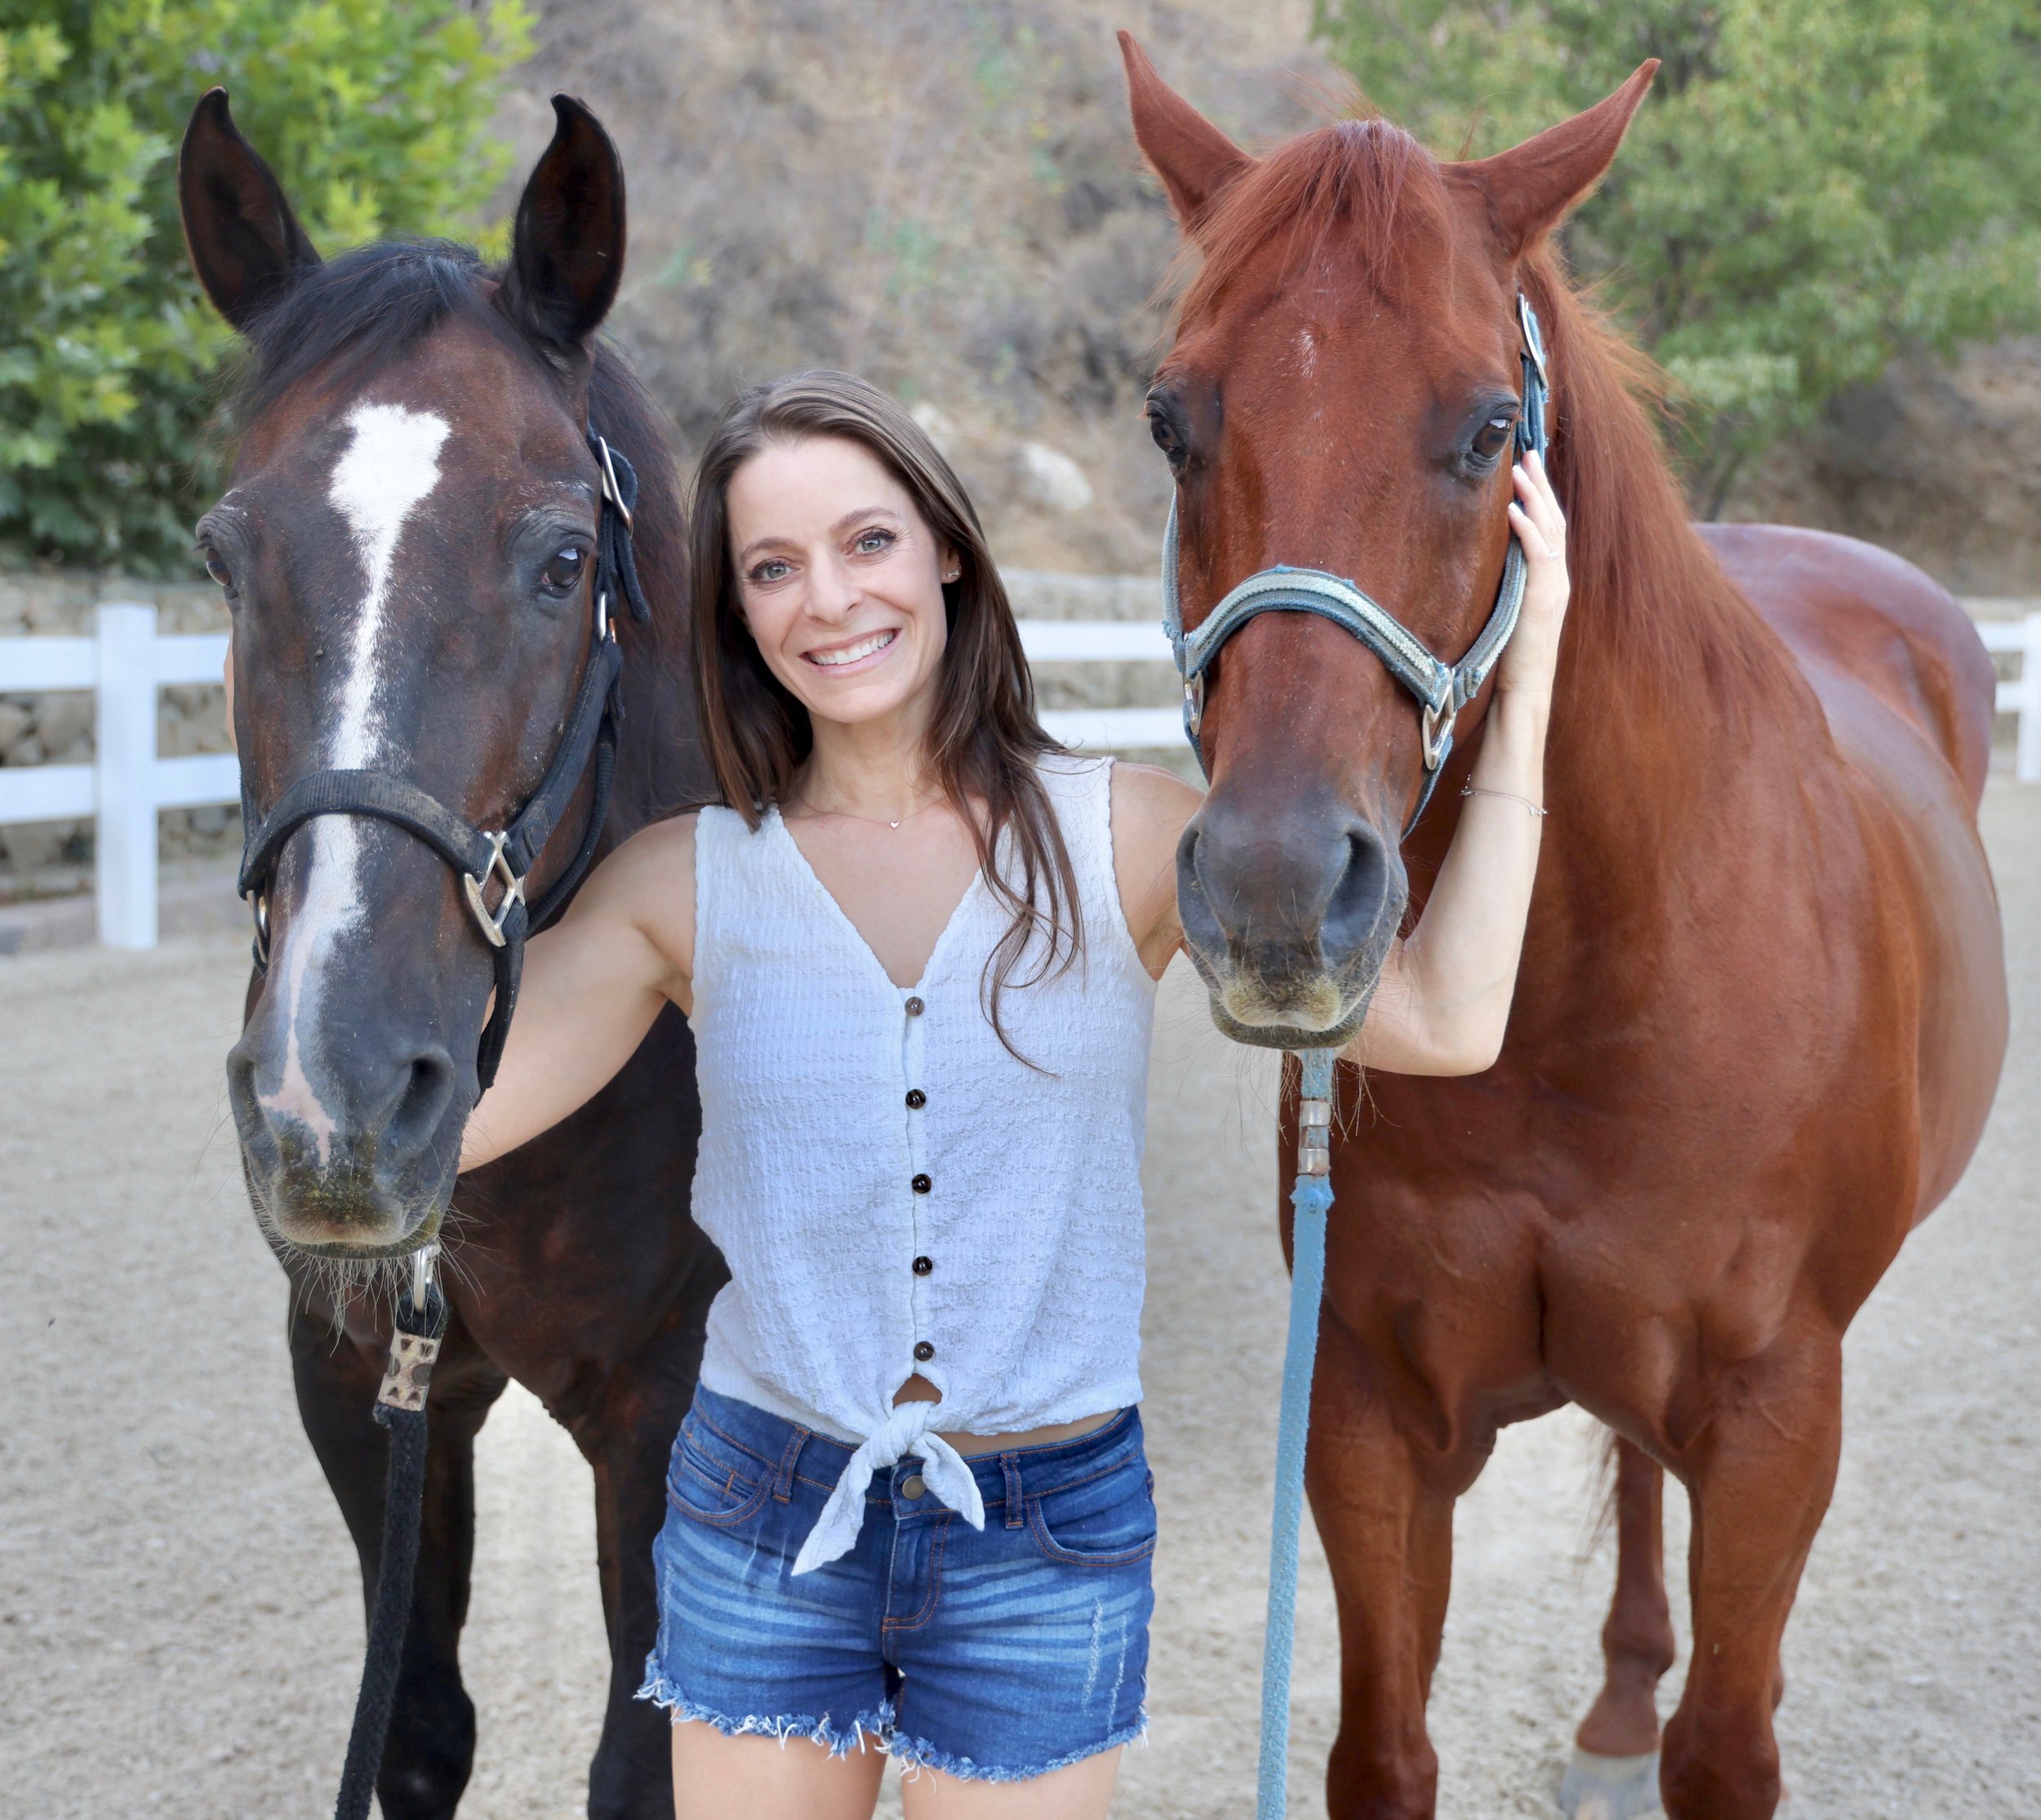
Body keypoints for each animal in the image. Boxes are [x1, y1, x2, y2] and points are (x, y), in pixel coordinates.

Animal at [180, 92, 721, 1819]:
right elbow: (413, 1733)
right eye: (224, 557)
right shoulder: (365, 1378)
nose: (336, 1097)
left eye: (561, 560)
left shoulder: (672, 1412)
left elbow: (649, 1766)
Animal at [1119, 36, 2007, 1820]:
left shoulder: (1774, 1419)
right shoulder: (1370, 1417)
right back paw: (1612, 1696)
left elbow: (1724, 1747)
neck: (1584, 1000)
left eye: (1484, 432)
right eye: (1174, 420)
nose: (1272, 894)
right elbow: (1382, 1749)